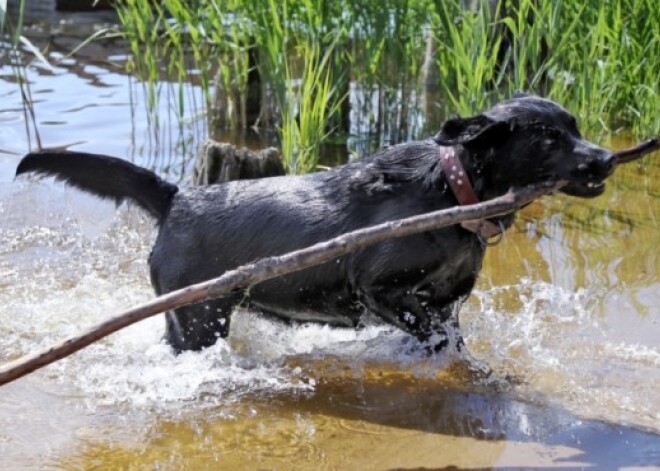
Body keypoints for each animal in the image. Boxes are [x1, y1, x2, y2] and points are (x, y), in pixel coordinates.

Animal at [15, 95, 612, 354]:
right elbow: (430, 332)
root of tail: (177, 198)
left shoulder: (449, 299)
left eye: (576, 126)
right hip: (199, 317)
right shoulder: (378, 288)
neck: (451, 194)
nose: (604, 159)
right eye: (547, 138)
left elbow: (450, 335)